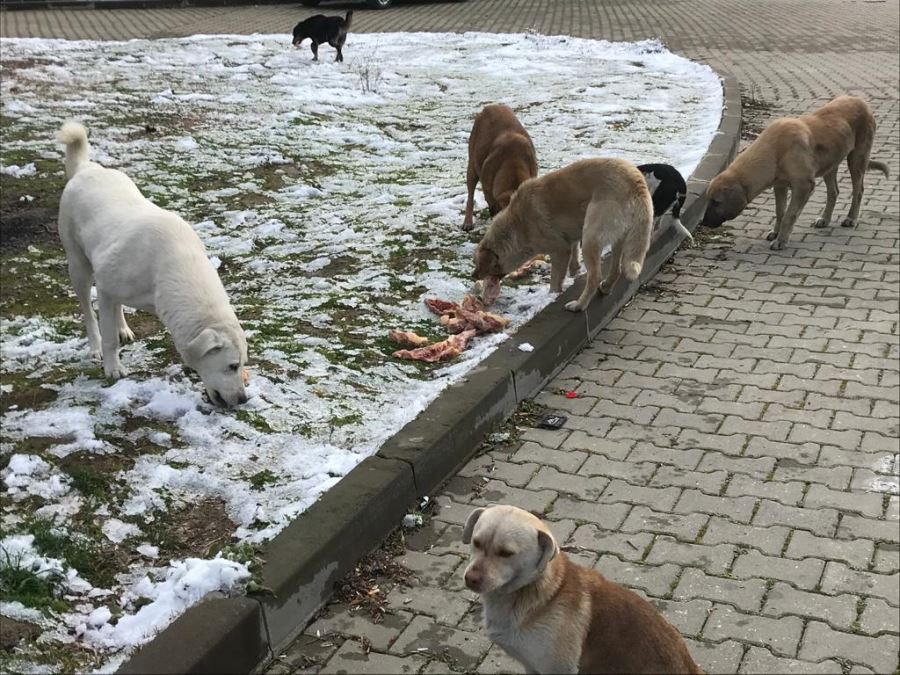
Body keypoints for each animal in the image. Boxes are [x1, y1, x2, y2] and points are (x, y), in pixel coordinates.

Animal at [57, 121, 248, 406]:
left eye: (242, 365)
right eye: (232, 366)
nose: (244, 399)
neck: (171, 264)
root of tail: (86, 168)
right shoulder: (105, 287)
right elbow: (108, 337)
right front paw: (113, 368)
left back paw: (123, 328)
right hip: (79, 266)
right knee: (89, 312)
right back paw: (95, 347)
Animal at [472, 159, 652, 314]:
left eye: (478, 263)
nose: (473, 276)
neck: (517, 223)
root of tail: (637, 184)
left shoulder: (560, 250)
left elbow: (555, 280)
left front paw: (553, 296)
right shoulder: (571, 239)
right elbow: (573, 256)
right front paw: (574, 272)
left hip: (590, 237)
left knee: (595, 276)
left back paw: (579, 305)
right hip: (617, 238)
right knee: (616, 269)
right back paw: (606, 287)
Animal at [704, 95, 884, 251]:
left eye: (716, 202)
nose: (703, 223)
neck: (774, 151)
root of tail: (860, 100)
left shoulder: (804, 186)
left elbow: (789, 215)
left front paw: (781, 240)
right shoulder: (780, 186)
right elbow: (780, 212)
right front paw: (776, 233)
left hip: (857, 159)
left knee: (858, 190)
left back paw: (851, 218)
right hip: (830, 163)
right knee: (834, 192)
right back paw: (825, 219)